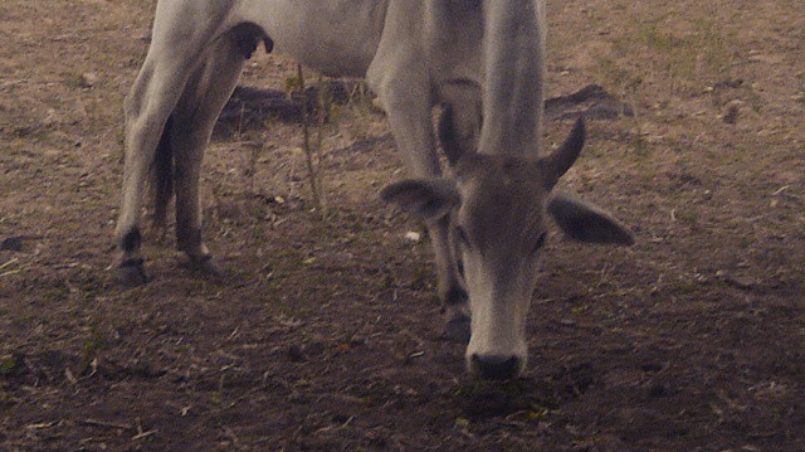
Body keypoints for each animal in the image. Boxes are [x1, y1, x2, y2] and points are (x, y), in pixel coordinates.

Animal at [114, 0, 634, 380]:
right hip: (181, 30)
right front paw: (456, 305)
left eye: (540, 239)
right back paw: (129, 253)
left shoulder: (472, 94)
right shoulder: (401, 88)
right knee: (145, 116)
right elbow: (437, 208)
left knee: (193, 130)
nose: (496, 363)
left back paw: (196, 248)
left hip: (232, 40)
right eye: (465, 235)